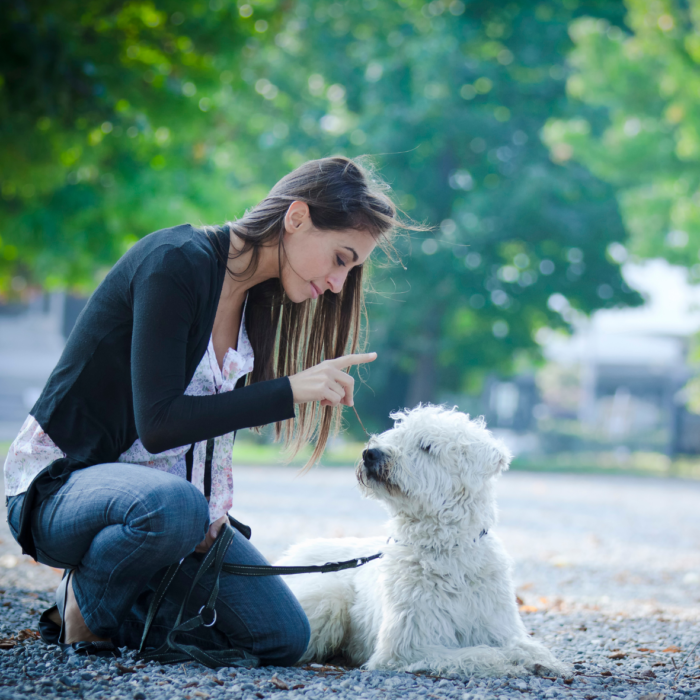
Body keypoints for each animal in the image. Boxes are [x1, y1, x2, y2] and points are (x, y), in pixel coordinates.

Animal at [276, 404, 572, 680]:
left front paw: (546, 662)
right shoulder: (410, 646)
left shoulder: (497, 625)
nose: (370, 454)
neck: (445, 548)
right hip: (329, 598)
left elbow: (525, 646)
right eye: (397, 434)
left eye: (426, 446)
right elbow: (478, 653)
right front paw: (506, 663)